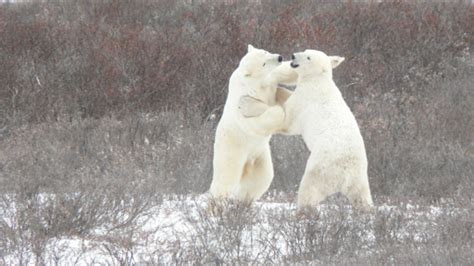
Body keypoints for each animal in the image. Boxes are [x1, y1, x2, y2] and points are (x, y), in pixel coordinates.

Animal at [210, 44, 292, 202]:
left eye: (265, 51)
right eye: (263, 64)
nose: (279, 57)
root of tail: (246, 163)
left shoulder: (270, 82)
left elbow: (282, 76)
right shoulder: (242, 101)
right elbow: (255, 124)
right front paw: (276, 111)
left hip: (260, 155)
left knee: (261, 179)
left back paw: (243, 200)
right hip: (231, 150)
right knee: (226, 180)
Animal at [241, 48, 374, 210]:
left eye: (308, 57)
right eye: (305, 50)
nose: (293, 56)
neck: (318, 80)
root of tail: (346, 173)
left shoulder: (306, 98)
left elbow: (286, 119)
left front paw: (246, 103)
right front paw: (278, 89)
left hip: (322, 166)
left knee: (309, 189)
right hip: (359, 178)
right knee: (362, 198)